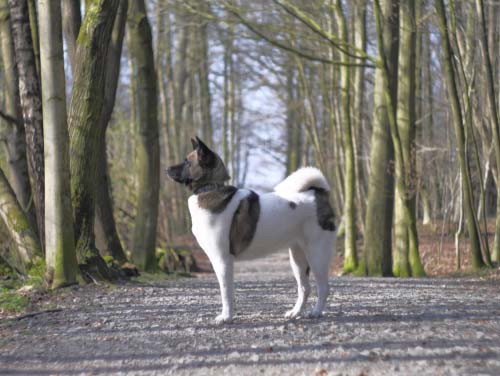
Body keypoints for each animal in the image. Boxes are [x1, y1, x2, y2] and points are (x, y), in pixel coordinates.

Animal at [167, 137, 336, 324]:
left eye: (186, 162)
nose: (167, 169)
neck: (211, 188)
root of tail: (318, 194)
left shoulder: (222, 259)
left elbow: (225, 291)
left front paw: (226, 317)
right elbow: (230, 291)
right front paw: (230, 314)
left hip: (317, 254)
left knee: (323, 287)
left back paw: (316, 312)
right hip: (298, 258)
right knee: (305, 288)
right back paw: (295, 312)